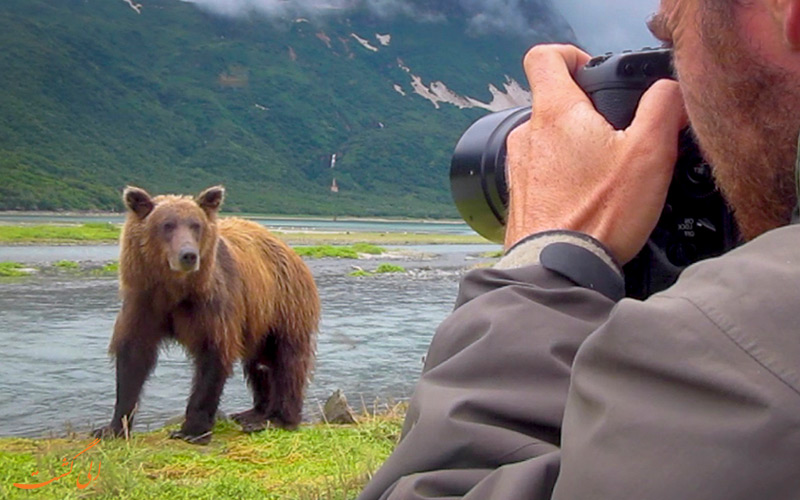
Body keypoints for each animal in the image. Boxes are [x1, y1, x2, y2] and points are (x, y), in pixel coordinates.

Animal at [94, 186, 318, 444]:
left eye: (195, 225)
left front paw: (191, 430)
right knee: (258, 363)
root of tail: (289, 250)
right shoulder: (144, 302)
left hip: (284, 305)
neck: (175, 290)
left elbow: (213, 355)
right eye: (167, 224)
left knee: (286, 360)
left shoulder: (211, 306)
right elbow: (133, 357)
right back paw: (254, 412)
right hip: (257, 319)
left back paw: (279, 418)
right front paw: (112, 427)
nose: (188, 255)